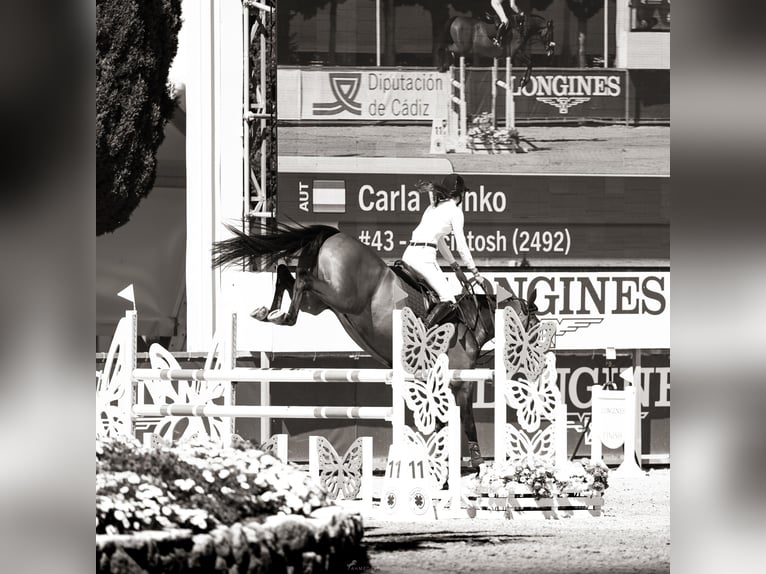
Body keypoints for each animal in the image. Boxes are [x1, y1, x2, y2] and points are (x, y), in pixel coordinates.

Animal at [213, 223, 544, 470]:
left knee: (287, 273)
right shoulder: (458, 383)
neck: (473, 322)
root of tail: (333, 234)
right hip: (341, 296)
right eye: (532, 326)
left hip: (320, 304)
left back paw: (268, 312)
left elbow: (440, 424)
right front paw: (474, 461)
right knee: (302, 280)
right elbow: (467, 421)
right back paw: (281, 316)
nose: (535, 365)